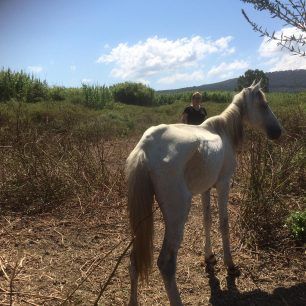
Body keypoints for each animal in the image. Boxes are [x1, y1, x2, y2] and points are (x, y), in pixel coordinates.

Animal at [126, 80, 282, 304]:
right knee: (166, 263)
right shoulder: (224, 185)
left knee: (134, 259)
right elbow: (223, 224)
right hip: (178, 214)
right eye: (263, 105)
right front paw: (230, 264)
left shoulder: (206, 189)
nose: (278, 132)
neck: (223, 131)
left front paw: (209, 256)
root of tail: (145, 148)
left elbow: (207, 220)